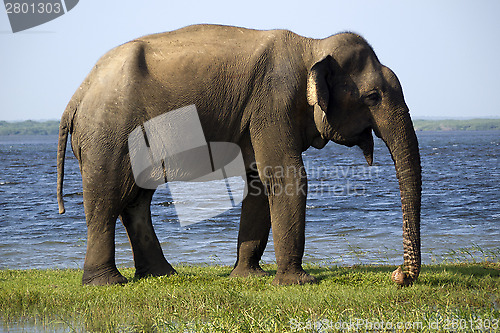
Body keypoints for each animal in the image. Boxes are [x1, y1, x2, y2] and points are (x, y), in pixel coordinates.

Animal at [55, 25, 422, 286]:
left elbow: (259, 183)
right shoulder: (274, 103)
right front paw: (298, 282)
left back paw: (162, 275)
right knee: (107, 197)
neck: (312, 45)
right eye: (373, 96)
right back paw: (105, 283)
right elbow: (288, 176)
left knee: (136, 200)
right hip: (110, 134)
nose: (399, 276)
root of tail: (77, 95)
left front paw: (249, 277)